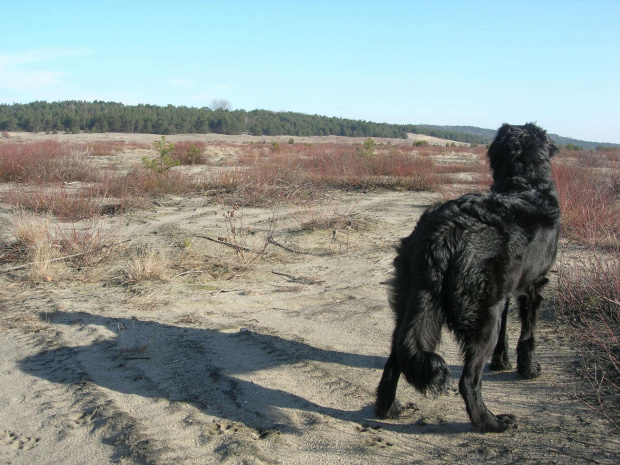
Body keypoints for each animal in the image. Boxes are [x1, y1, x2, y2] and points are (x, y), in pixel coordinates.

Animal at [376, 123, 560, 432]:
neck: (525, 183)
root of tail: (445, 231)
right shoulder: (533, 286)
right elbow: (528, 334)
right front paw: (528, 370)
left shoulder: (505, 294)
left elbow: (506, 334)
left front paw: (501, 362)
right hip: (482, 315)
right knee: (468, 381)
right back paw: (491, 422)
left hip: (410, 300)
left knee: (396, 359)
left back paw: (388, 410)